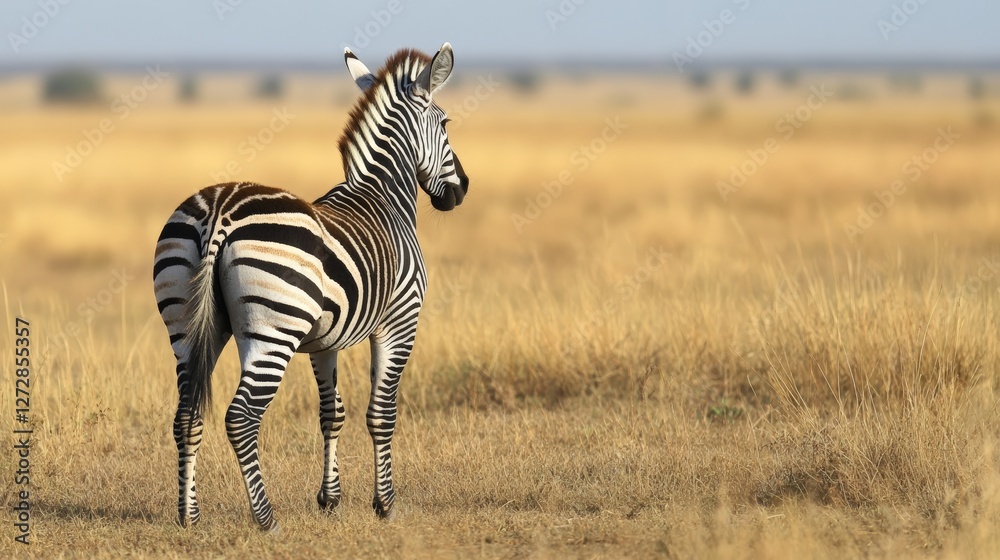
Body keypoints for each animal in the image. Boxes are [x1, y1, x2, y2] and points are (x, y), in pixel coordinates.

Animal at [153, 43, 468, 532]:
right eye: (446, 123)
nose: (462, 189)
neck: (383, 195)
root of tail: (220, 210)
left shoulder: (325, 339)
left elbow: (331, 414)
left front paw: (330, 498)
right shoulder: (400, 321)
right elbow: (381, 414)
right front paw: (385, 504)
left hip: (186, 327)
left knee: (187, 415)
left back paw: (190, 516)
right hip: (272, 333)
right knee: (241, 417)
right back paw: (266, 518)